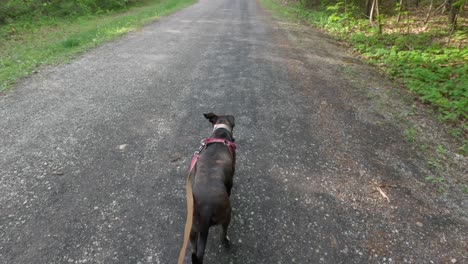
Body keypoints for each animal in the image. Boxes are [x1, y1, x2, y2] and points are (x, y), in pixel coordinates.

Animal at [188, 113, 236, 264]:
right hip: (226, 216)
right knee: (223, 232)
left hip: (192, 229)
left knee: (194, 249)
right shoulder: (231, 179)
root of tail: (205, 210)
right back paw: (226, 242)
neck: (220, 133)